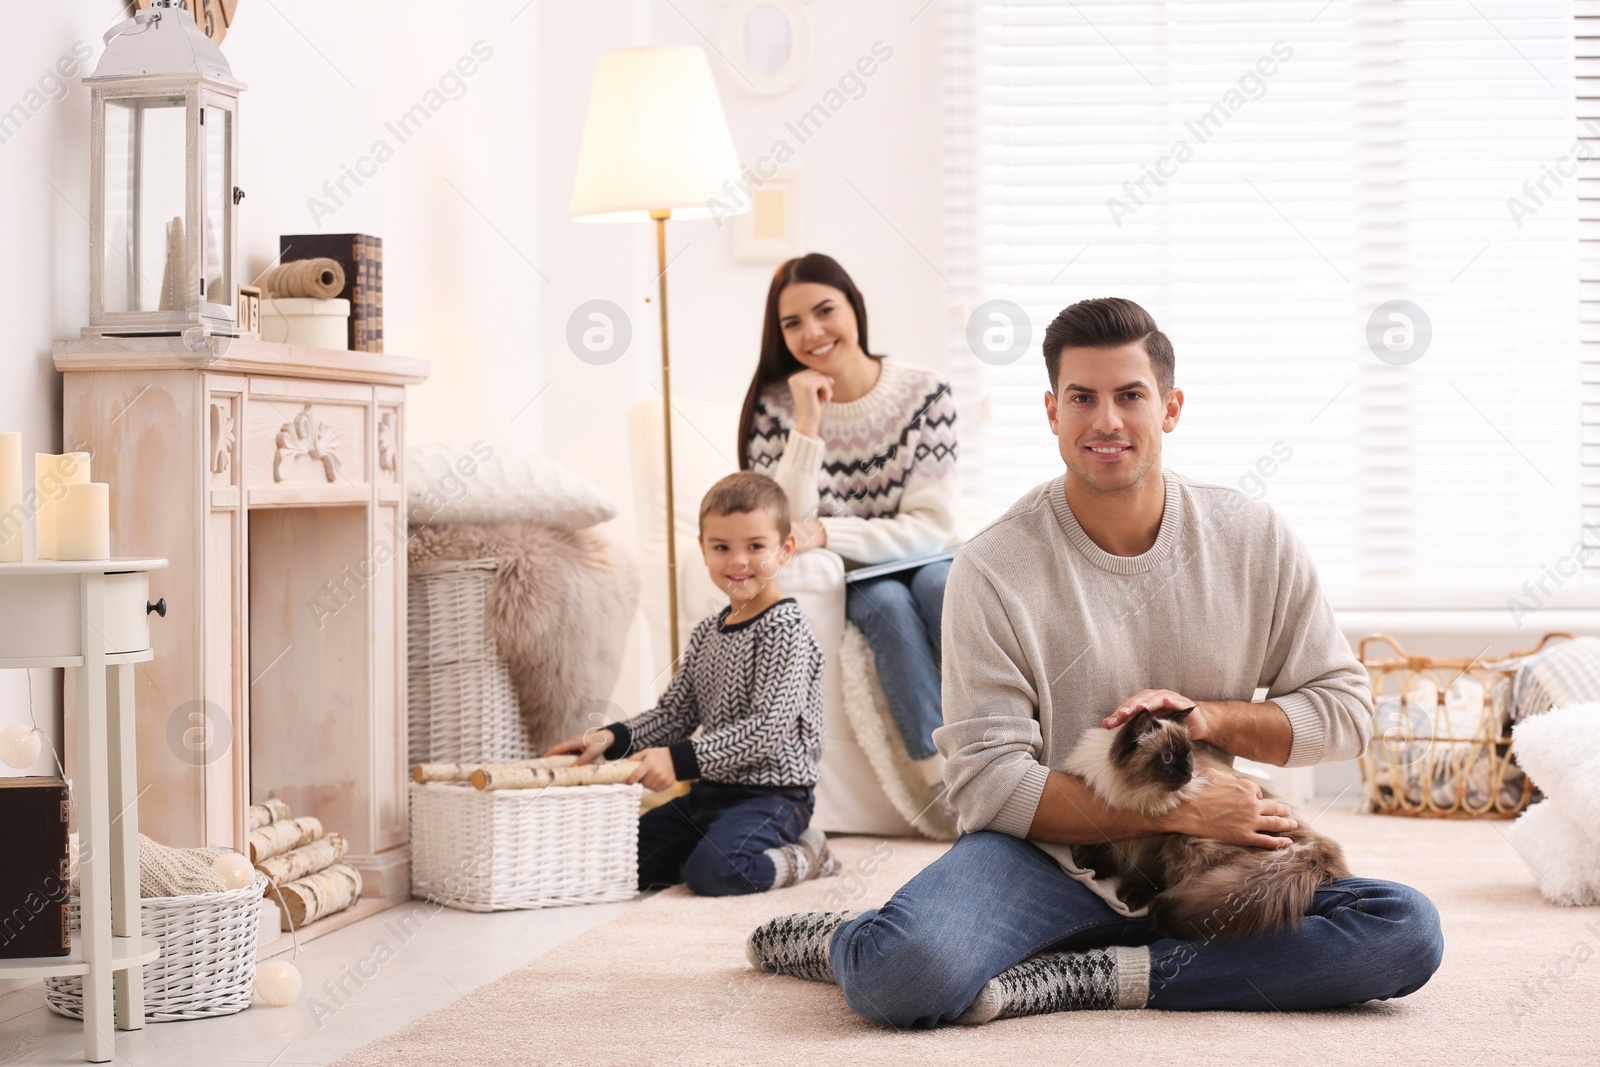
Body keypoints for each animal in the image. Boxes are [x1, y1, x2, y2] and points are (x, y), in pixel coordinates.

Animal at [1062, 710, 1350, 940]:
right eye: (1168, 757)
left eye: (1188, 755)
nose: (1188, 773)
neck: (1135, 798)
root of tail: (1317, 849)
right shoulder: (1108, 823)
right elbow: (1101, 850)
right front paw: (1092, 866)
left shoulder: (1158, 841)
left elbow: (1145, 873)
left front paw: (1130, 895)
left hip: (1190, 844)